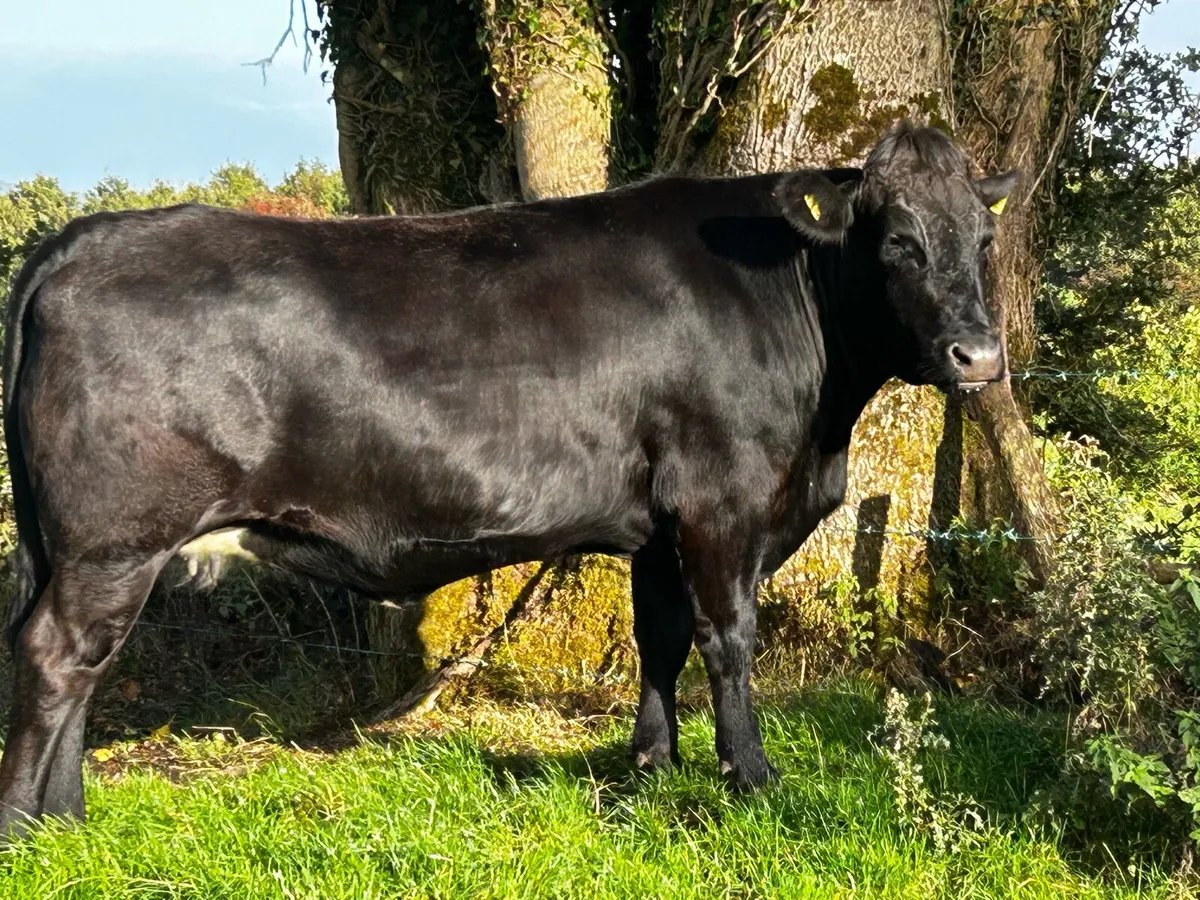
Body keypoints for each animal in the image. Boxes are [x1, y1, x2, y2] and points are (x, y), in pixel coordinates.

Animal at [0, 122, 1016, 834]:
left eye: (982, 241)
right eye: (895, 241)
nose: (978, 355)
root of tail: (81, 240)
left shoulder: (657, 524)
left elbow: (660, 641)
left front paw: (651, 767)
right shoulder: (719, 502)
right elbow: (729, 640)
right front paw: (751, 778)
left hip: (79, 547)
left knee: (81, 661)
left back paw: (68, 822)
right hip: (116, 538)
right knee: (57, 655)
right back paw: (28, 829)